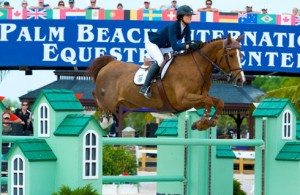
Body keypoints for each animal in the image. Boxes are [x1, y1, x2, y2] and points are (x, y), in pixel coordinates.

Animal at [88, 33, 244, 131]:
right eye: (231, 55)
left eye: (241, 55)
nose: (240, 80)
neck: (196, 67)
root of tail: (110, 63)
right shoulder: (183, 99)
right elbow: (209, 101)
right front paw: (202, 123)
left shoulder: (197, 99)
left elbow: (217, 102)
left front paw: (207, 122)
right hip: (108, 100)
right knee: (97, 98)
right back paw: (104, 120)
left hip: (126, 102)